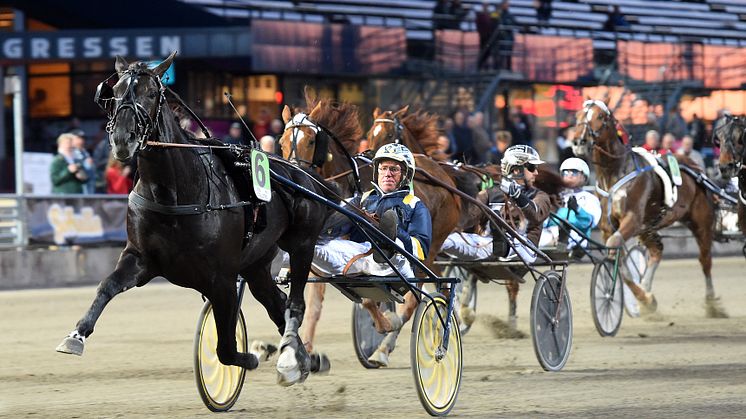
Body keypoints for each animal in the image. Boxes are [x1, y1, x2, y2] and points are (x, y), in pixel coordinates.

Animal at [56, 54, 336, 388]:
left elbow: (226, 349)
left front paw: (249, 358)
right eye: (116, 91)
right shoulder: (140, 259)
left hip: (302, 244)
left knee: (295, 303)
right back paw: (304, 357)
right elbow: (106, 286)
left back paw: (294, 357)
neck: (174, 193)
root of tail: (305, 175)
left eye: (152, 93)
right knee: (276, 302)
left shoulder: (222, 278)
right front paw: (76, 335)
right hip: (256, 264)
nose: (123, 140)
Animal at [572, 100, 724, 316]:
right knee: (657, 250)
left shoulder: (633, 220)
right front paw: (645, 298)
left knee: (705, 260)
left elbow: (614, 246)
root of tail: (696, 168)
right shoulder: (608, 227)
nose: (579, 142)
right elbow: (622, 264)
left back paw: (712, 303)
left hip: (701, 222)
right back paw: (646, 288)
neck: (614, 172)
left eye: (600, 116)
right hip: (649, 227)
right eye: (577, 115)